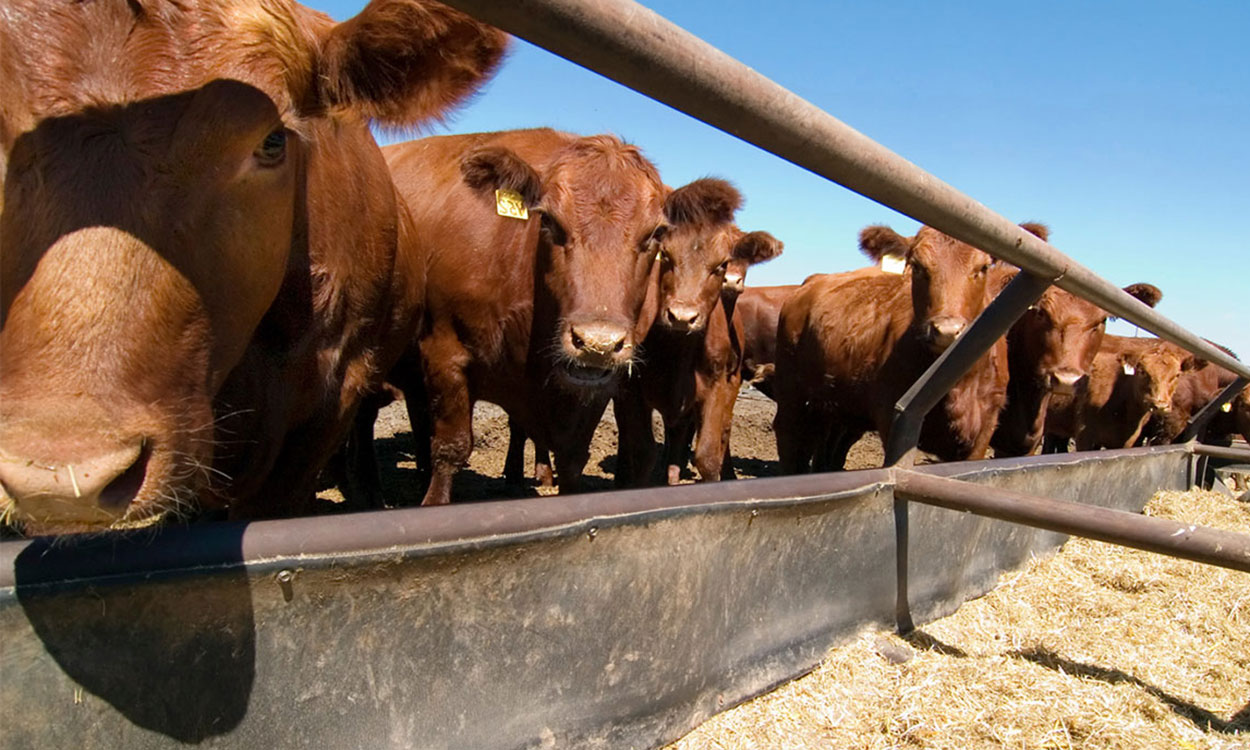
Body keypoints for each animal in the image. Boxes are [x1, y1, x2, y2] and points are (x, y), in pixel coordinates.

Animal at [612, 181, 780, 487]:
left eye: (721, 264)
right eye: (666, 256)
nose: (682, 316)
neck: (678, 351)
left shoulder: (719, 387)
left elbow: (708, 456)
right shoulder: (631, 389)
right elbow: (642, 453)